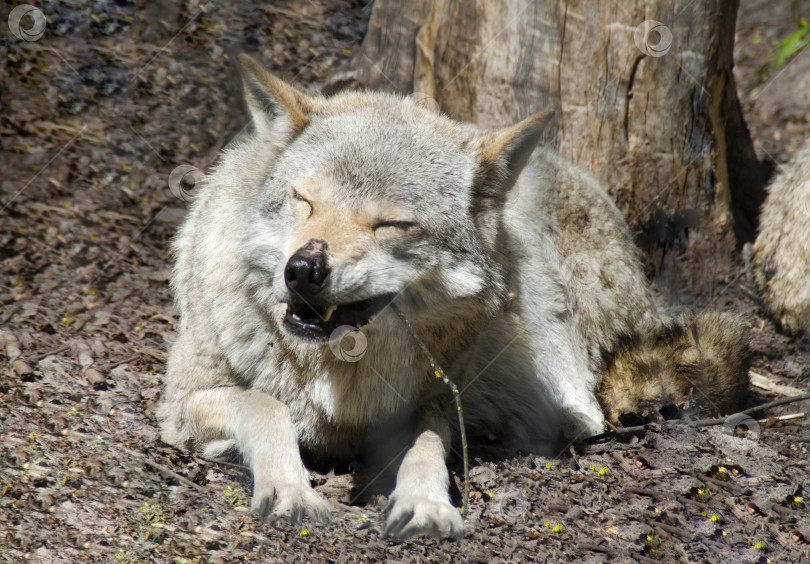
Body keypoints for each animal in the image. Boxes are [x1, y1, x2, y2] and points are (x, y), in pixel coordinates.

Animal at [159, 55, 752, 540]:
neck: (339, 378)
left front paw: (425, 504)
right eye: (304, 201)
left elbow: (427, 448)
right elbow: (267, 405)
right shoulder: (182, 399)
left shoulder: (434, 405)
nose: (304, 269)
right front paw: (291, 490)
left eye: (390, 224)